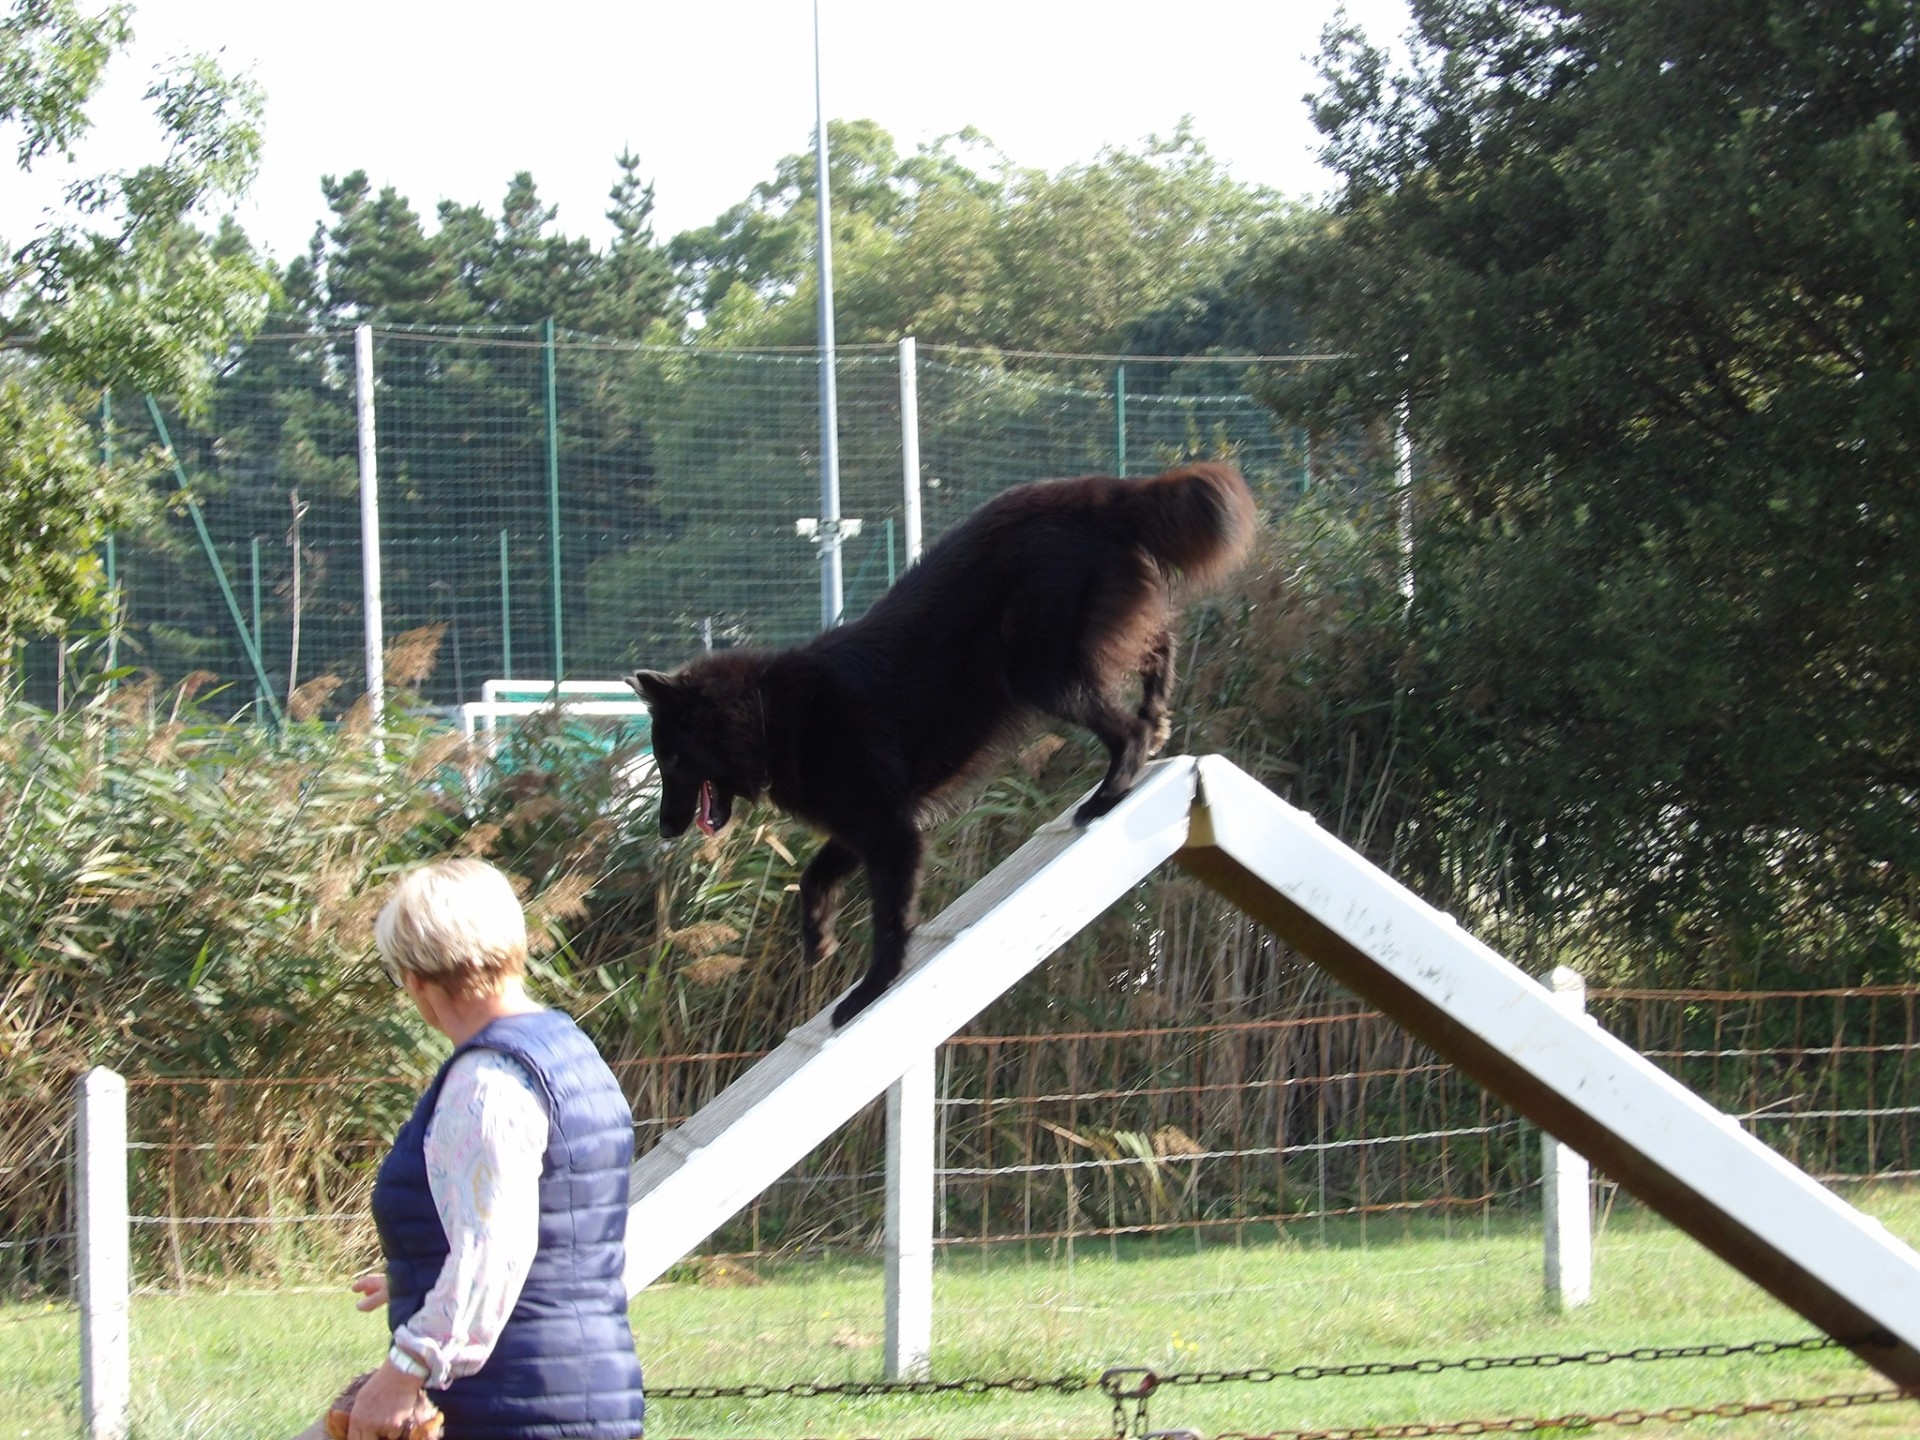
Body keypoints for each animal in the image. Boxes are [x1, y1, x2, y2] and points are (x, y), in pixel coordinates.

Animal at [629, 462, 1259, 1029]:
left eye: (674, 760)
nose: (664, 828)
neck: (770, 717)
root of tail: (1098, 493)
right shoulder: (863, 826)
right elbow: (812, 875)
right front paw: (817, 938)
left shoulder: (891, 834)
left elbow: (888, 920)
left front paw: (871, 989)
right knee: (1159, 646)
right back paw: (1156, 717)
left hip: (1040, 670)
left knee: (1126, 727)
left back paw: (1108, 793)